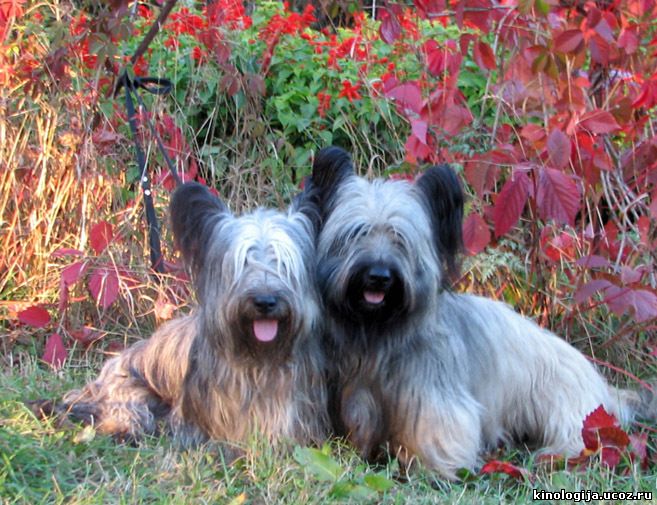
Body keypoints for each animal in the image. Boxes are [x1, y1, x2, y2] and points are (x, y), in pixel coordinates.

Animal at [308, 145, 652, 476]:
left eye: (400, 240)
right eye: (356, 234)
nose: (379, 276)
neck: (379, 331)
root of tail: (606, 390)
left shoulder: (433, 395)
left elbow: (441, 429)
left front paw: (436, 467)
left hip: (571, 405)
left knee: (580, 435)